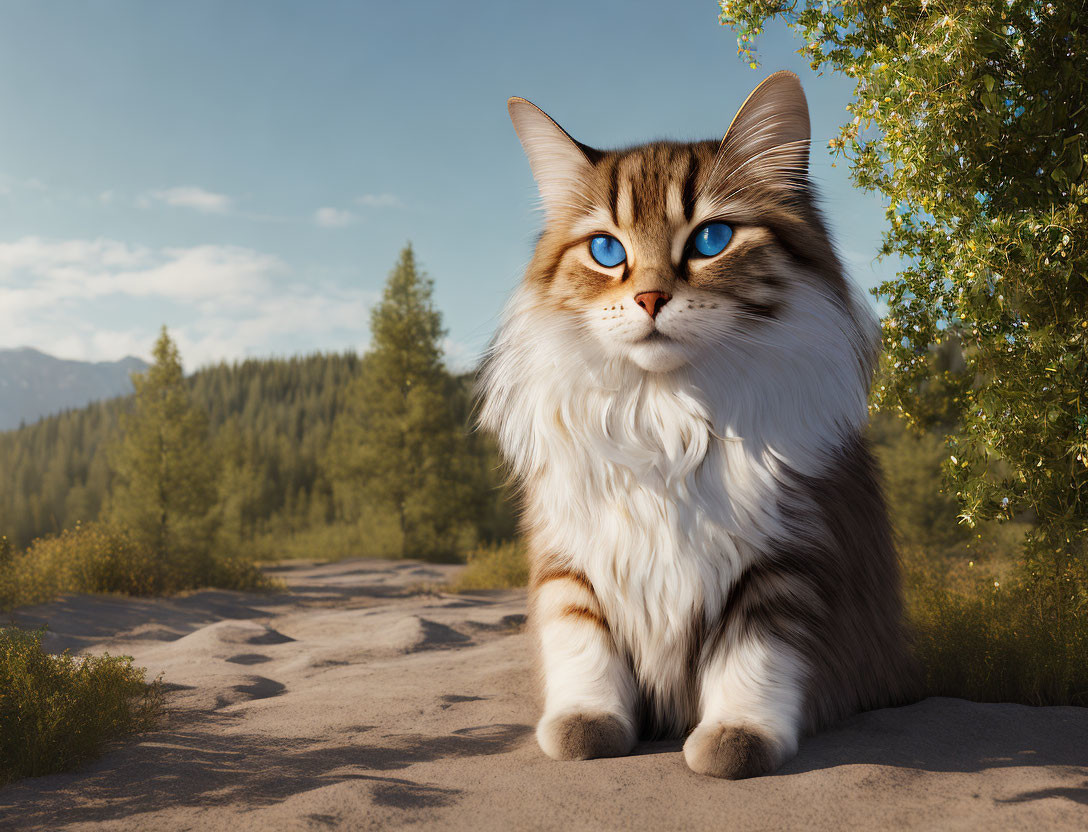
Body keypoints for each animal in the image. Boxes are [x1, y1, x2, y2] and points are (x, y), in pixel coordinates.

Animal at [480, 72, 913, 778]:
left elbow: (754, 658)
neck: (666, 414)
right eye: (606, 250)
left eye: (711, 240)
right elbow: (582, 645)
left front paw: (735, 740)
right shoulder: (570, 554)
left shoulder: (785, 559)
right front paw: (583, 726)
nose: (650, 298)